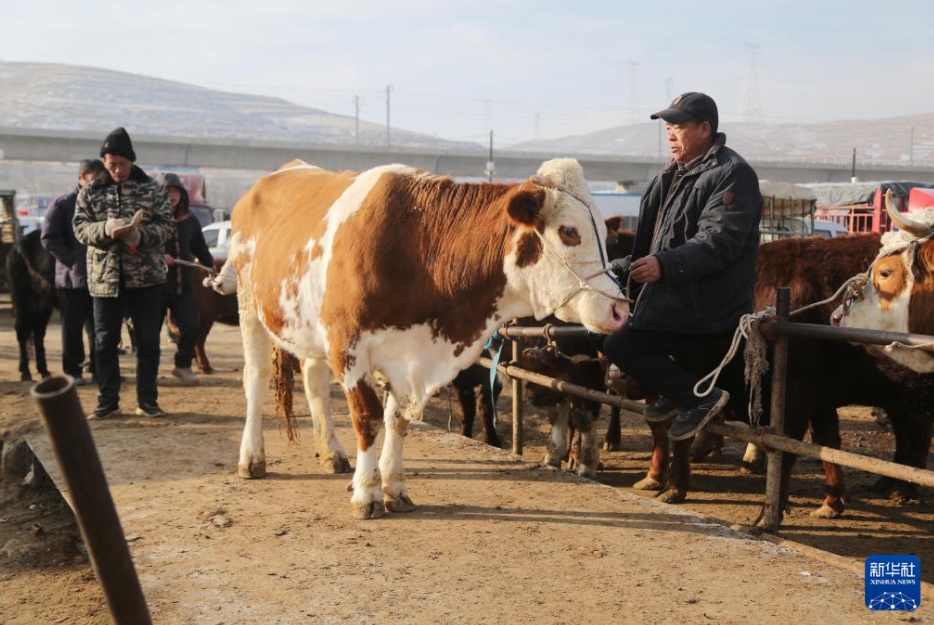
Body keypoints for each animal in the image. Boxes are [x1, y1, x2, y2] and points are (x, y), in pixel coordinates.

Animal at [214, 158, 628, 520]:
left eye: (603, 232)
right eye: (569, 231)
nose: (620, 309)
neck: (415, 245)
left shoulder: (405, 355)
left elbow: (396, 419)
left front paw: (394, 488)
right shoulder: (348, 346)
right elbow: (367, 417)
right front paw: (366, 493)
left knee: (314, 383)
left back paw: (331, 452)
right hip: (250, 308)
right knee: (255, 381)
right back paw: (252, 458)